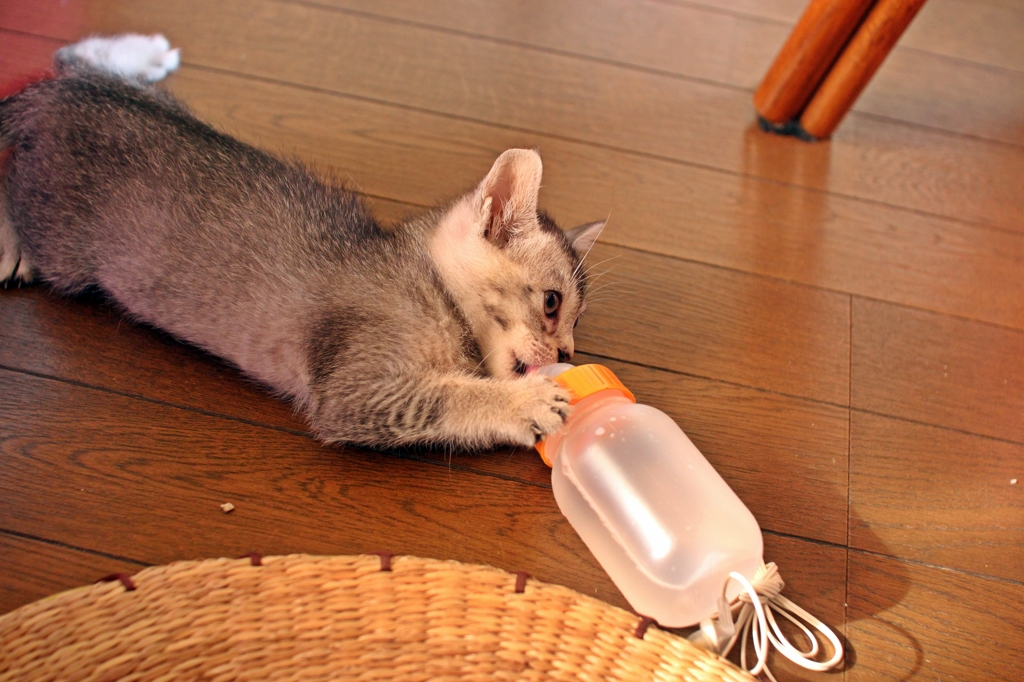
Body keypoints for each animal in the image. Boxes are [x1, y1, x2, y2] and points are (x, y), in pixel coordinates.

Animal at [0, 34, 602, 448]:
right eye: (553, 304)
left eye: (575, 321)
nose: (567, 353)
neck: (424, 278)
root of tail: (59, 98)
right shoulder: (354, 392)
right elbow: (448, 396)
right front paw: (522, 403)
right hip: (64, 245)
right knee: (14, 183)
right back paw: (12, 247)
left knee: (73, 57)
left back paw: (143, 53)